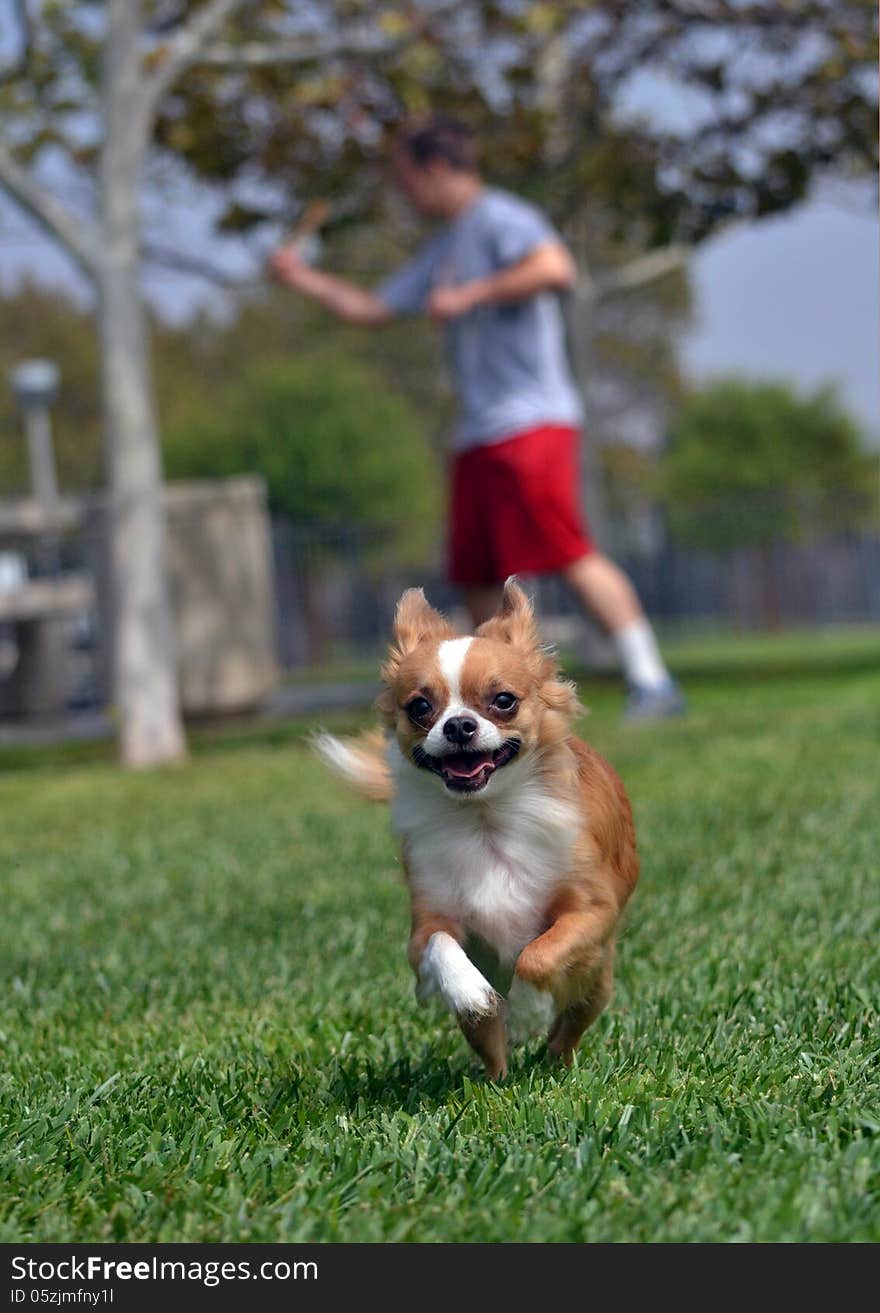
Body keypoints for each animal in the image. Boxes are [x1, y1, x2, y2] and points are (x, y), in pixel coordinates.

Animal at [317, 582, 640, 1076]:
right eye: (420, 707)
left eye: (503, 700)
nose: (458, 725)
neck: (484, 818)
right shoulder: (426, 926)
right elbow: (441, 946)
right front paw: (470, 992)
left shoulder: (591, 912)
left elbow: (539, 954)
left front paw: (527, 1013)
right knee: (492, 1045)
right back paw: (495, 1077)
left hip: (596, 981)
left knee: (566, 1031)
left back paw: (552, 1064)